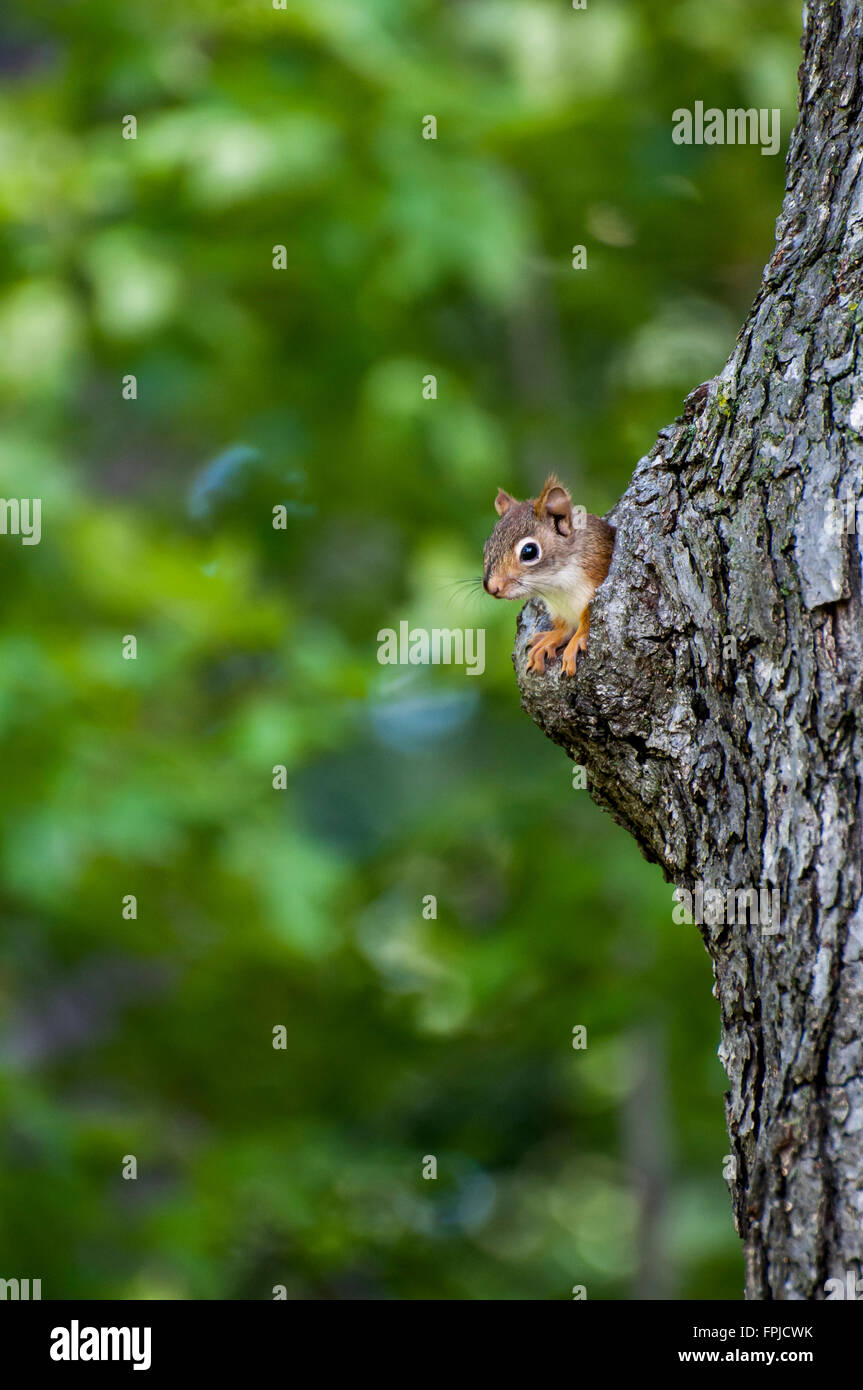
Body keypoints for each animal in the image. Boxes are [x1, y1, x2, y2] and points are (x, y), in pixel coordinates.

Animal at [482, 475, 615, 676]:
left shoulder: (596, 577)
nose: (491, 587)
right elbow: (564, 627)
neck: (556, 586)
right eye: (486, 546)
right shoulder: (559, 609)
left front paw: (577, 639)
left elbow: (587, 620)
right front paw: (550, 639)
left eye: (529, 551)